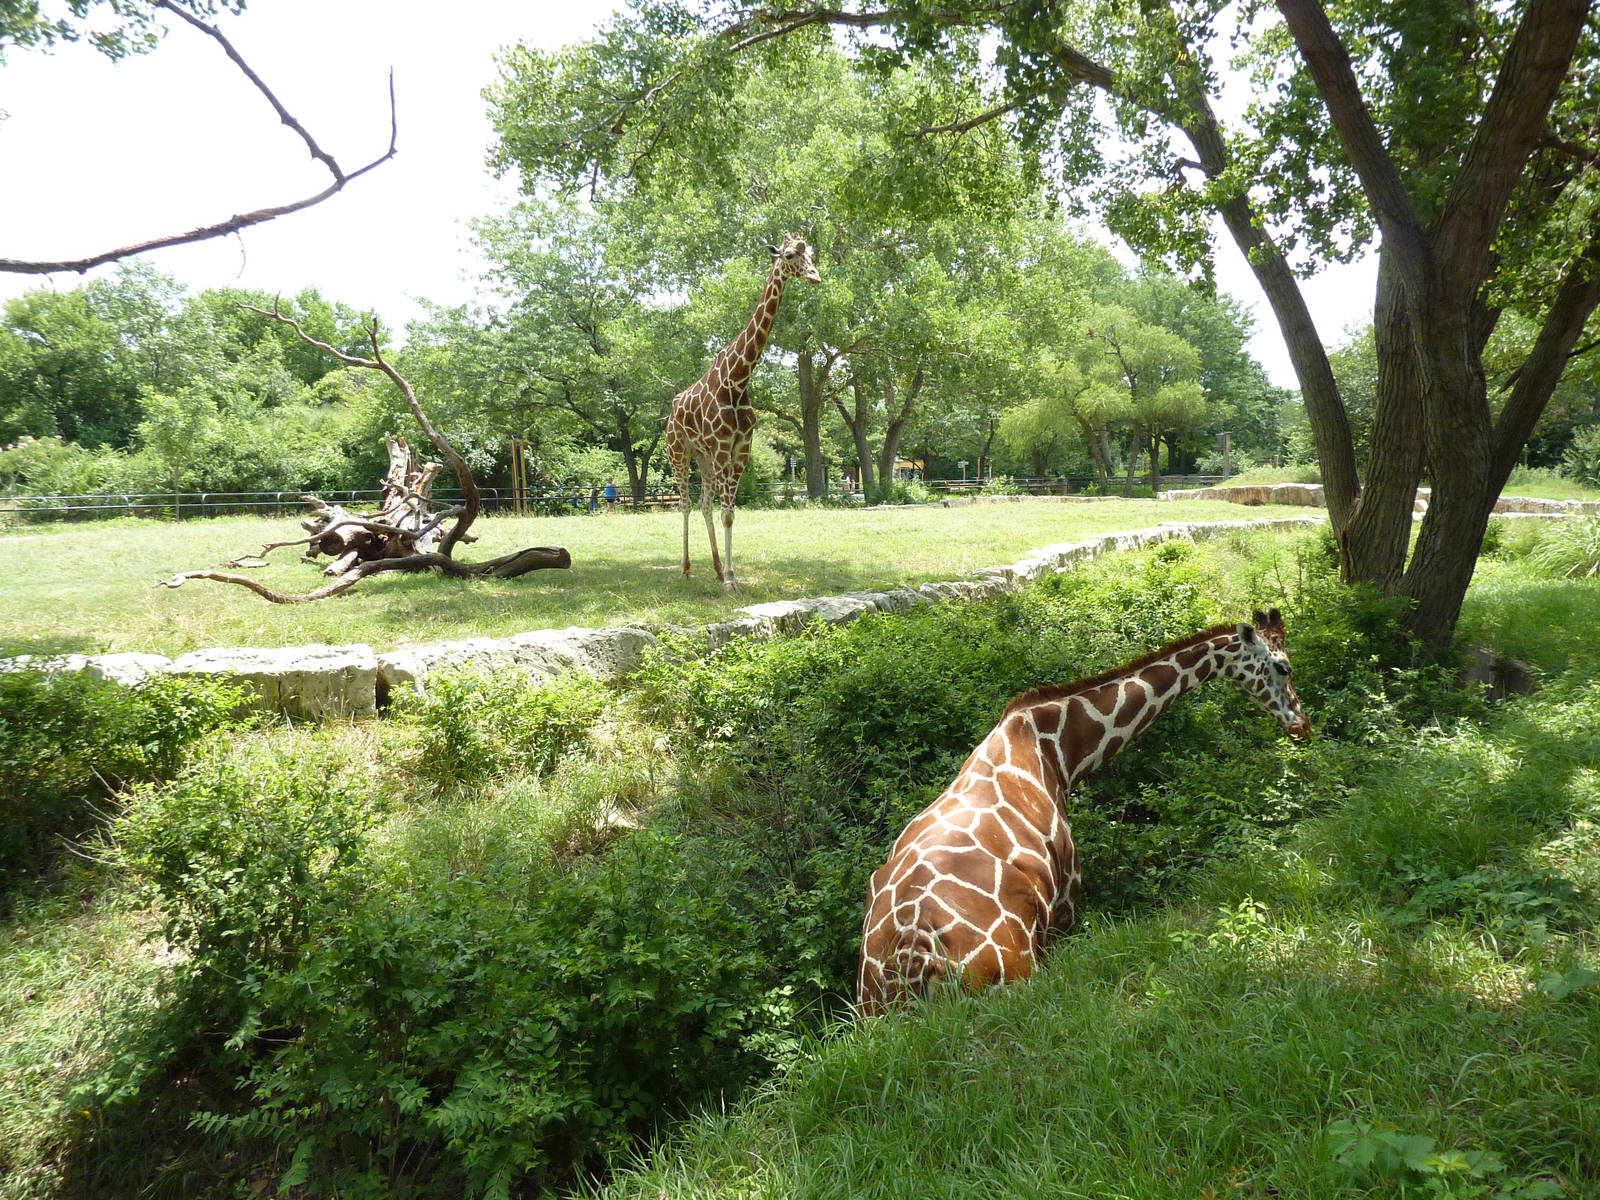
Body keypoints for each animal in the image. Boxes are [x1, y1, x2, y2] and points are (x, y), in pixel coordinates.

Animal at [667, 232, 820, 590]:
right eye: (789, 255)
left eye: (811, 255)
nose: (815, 276)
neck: (738, 379)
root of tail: (671, 410)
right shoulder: (724, 448)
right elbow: (726, 513)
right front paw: (731, 581)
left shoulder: (740, 448)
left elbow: (729, 513)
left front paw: (729, 575)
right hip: (678, 451)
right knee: (685, 503)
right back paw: (686, 569)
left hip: (703, 457)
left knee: (704, 504)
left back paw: (715, 567)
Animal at [857, 608, 1310, 1015]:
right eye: (1283, 667)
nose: (1300, 724)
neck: (1055, 750)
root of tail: (914, 958)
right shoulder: (1066, 901)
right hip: (1012, 981)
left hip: (872, 1009)